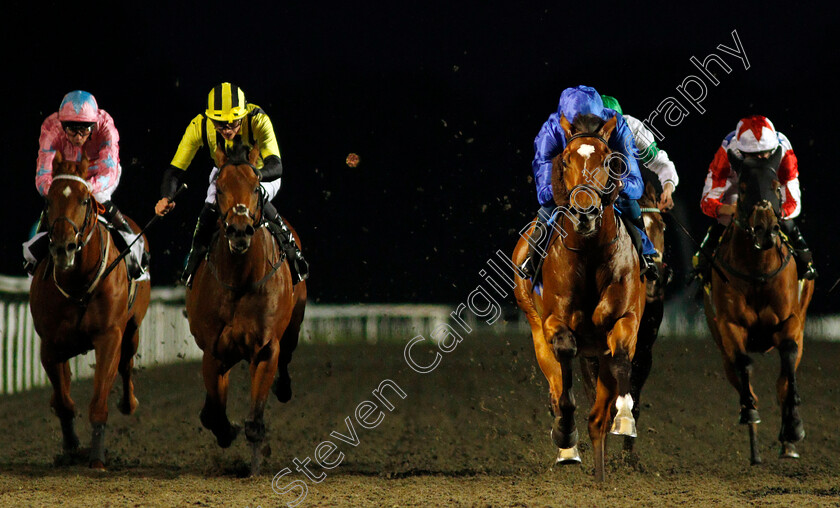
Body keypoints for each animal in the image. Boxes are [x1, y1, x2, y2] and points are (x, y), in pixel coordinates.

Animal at [29, 153, 151, 470]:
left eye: (85, 200)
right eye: (48, 201)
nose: (63, 248)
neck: (79, 282)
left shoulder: (109, 337)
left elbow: (99, 402)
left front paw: (96, 457)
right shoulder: (50, 344)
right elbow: (63, 401)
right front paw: (71, 445)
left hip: (132, 331)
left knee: (126, 365)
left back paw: (128, 402)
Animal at [187, 141, 308, 474]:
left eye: (256, 188)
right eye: (220, 188)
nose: (239, 231)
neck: (240, 280)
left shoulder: (266, 349)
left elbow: (255, 421)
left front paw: (255, 464)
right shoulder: (214, 351)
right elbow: (216, 412)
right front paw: (225, 429)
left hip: (292, 329)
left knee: (287, 359)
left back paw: (284, 388)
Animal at [512, 113, 644, 482]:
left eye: (608, 159)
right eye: (567, 159)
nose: (585, 213)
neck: (589, 252)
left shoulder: (625, 319)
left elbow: (622, 357)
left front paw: (625, 418)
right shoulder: (554, 322)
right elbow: (564, 365)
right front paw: (564, 432)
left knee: (598, 417)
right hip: (535, 328)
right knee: (557, 383)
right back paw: (568, 448)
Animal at [704, 148, 812, 464]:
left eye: (776, 187)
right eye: (742, 188)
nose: (764, 229)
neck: (758, 272)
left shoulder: (791, 321)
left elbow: (788, 361)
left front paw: (794, 427)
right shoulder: (729, 325)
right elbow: (744, 365)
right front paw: (749, 412)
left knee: (782, 380)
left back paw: (787, 443)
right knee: (741, 377)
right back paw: (754, 446)